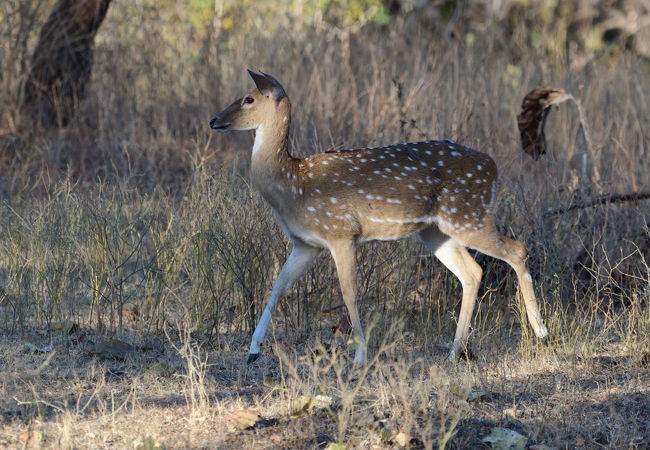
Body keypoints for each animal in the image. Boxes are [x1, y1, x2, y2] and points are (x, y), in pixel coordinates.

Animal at [209, 70, 548, 366]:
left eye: (249, 98)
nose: (214, 120)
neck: (292, 184)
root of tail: (493, 166)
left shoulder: (341, 232)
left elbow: (349, 293)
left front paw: (360, 357)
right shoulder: (306, 244)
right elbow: (278, 286)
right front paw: (252, 351)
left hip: (469, 215)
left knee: (517, 250)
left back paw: (541, 333)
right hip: (437, 231)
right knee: (472, 272)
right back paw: (455, 352)